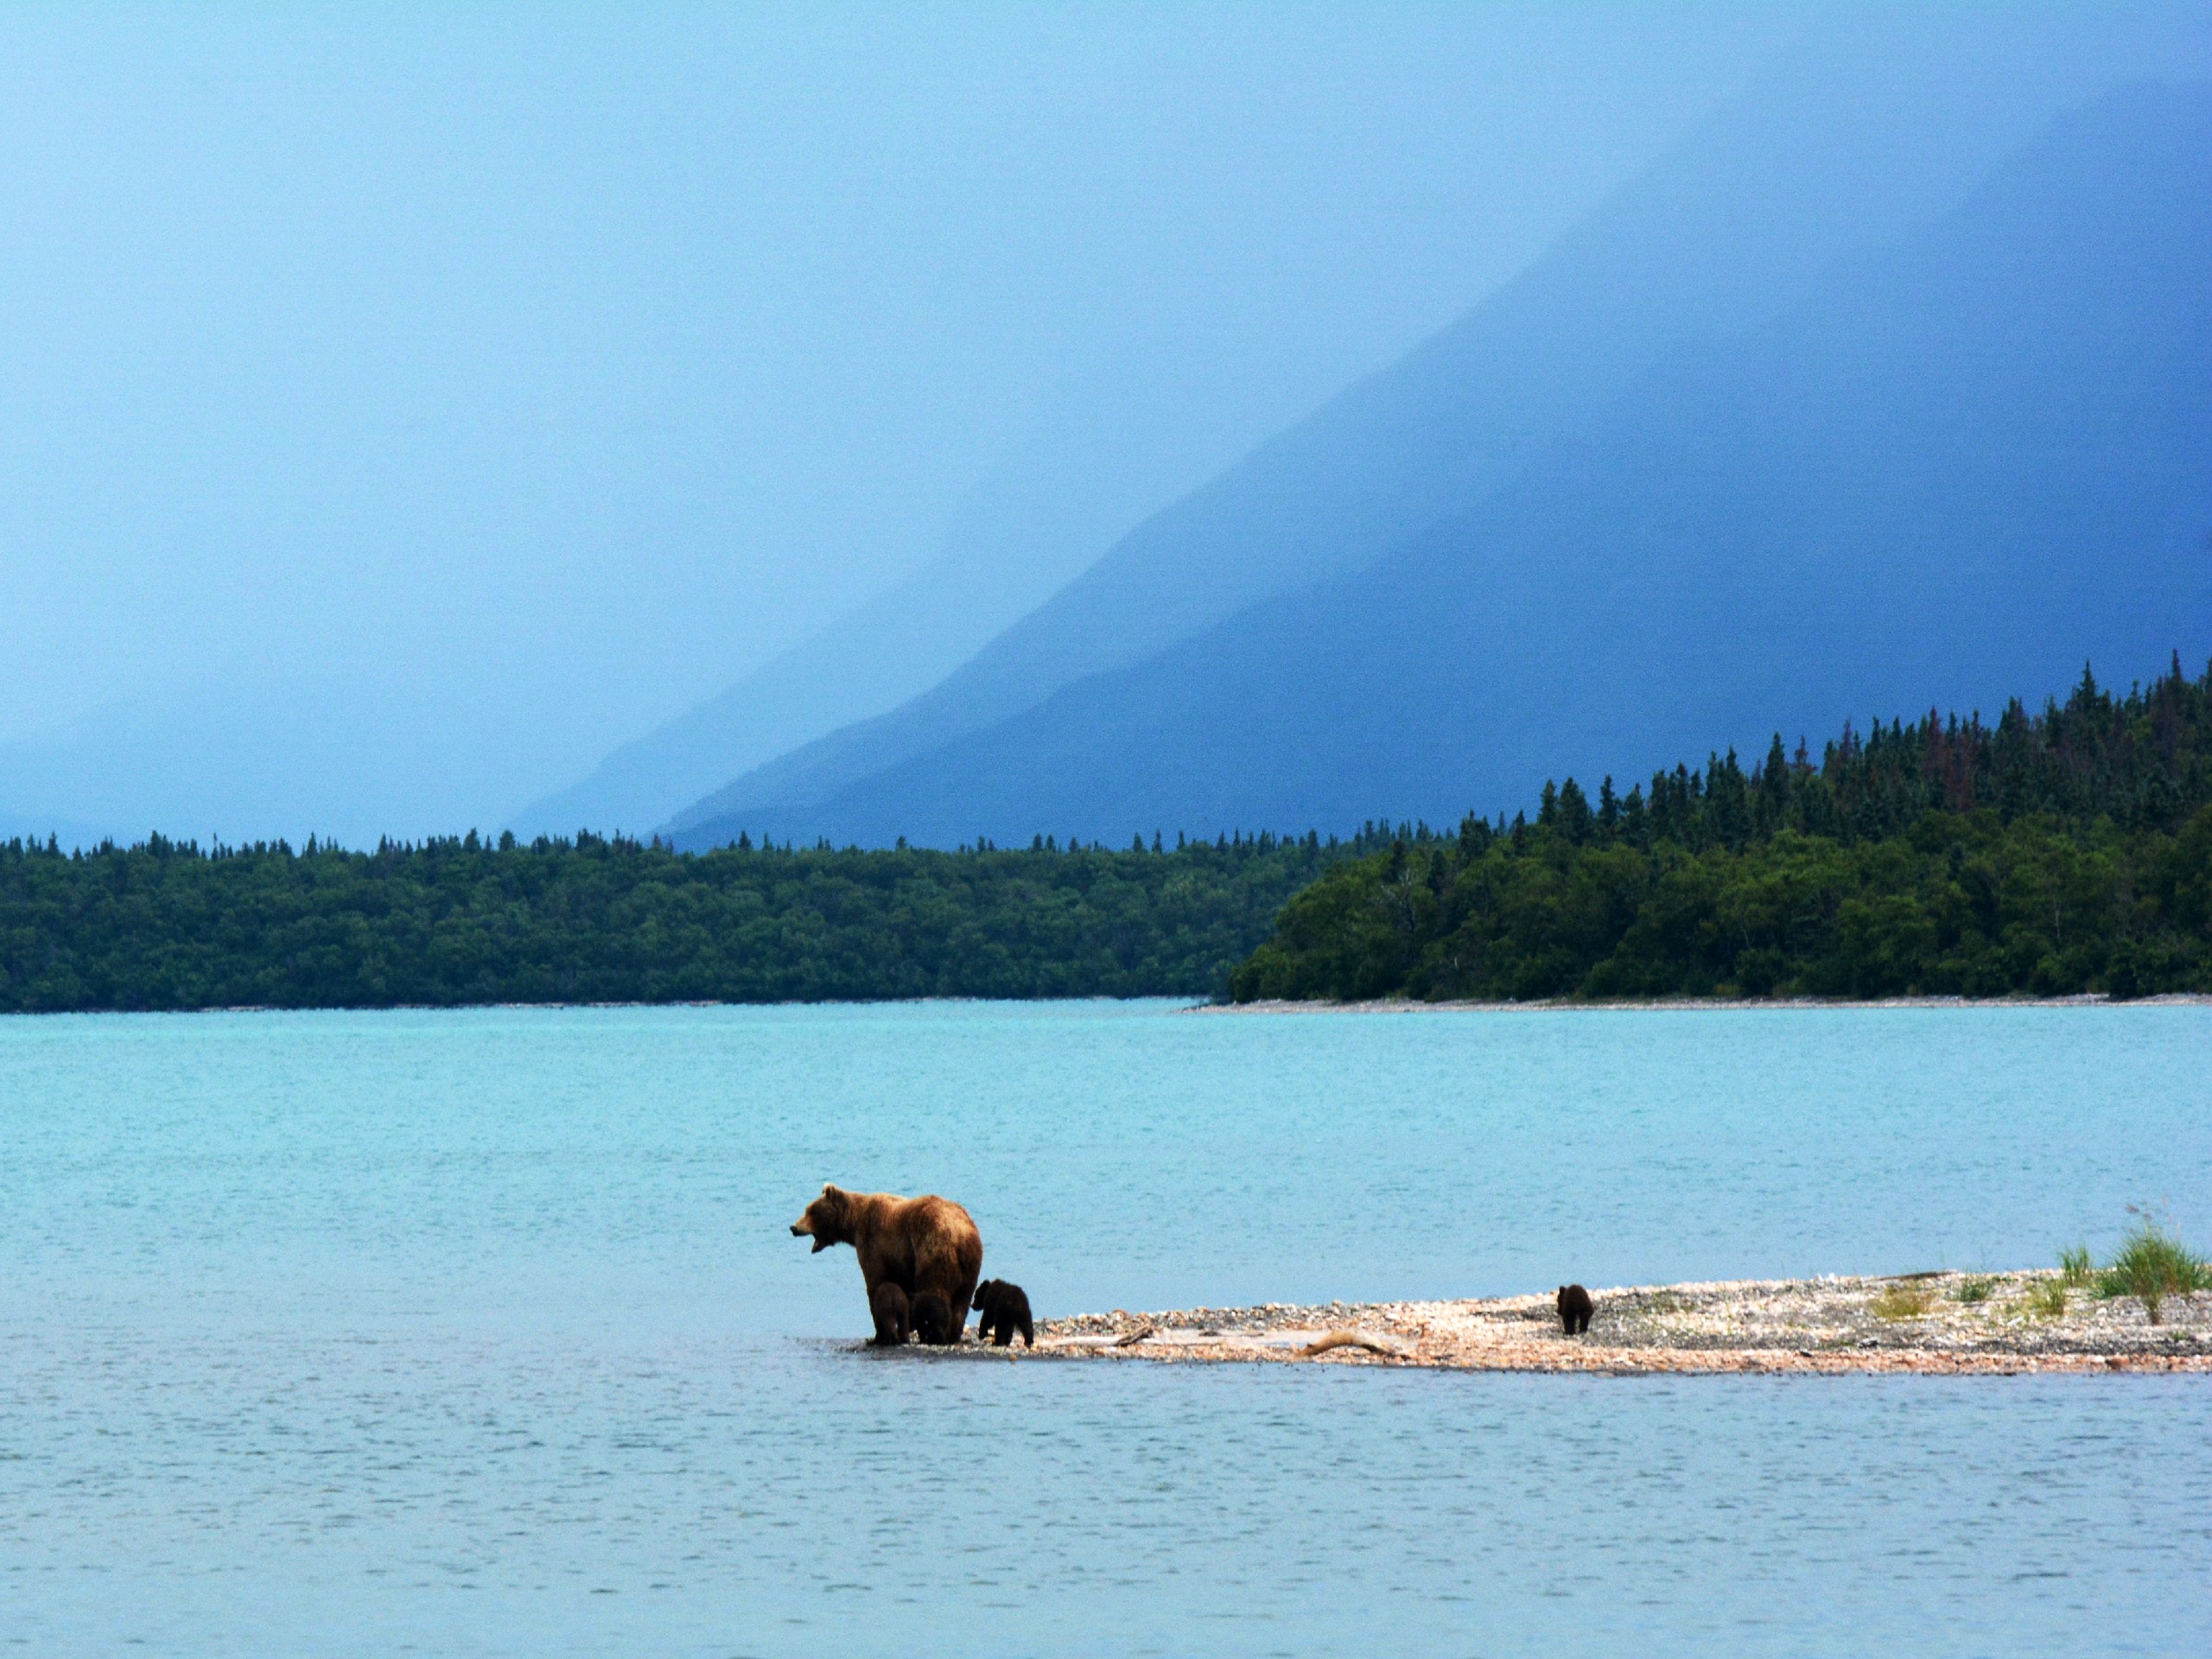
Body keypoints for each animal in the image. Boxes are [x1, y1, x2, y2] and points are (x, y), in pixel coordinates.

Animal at [787, 1185, 977, 1344]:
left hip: (932, 1250)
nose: (793, 1227)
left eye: (810, 1210)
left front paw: (879, 1336)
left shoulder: (874, 1244)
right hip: (970, 1266)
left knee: (934, 1290)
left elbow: (875, 1285)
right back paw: (952, 1335)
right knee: (962, 1302)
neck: (854, 1223)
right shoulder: (900, 1261)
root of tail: (961, 1235)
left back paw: (935, 1336)